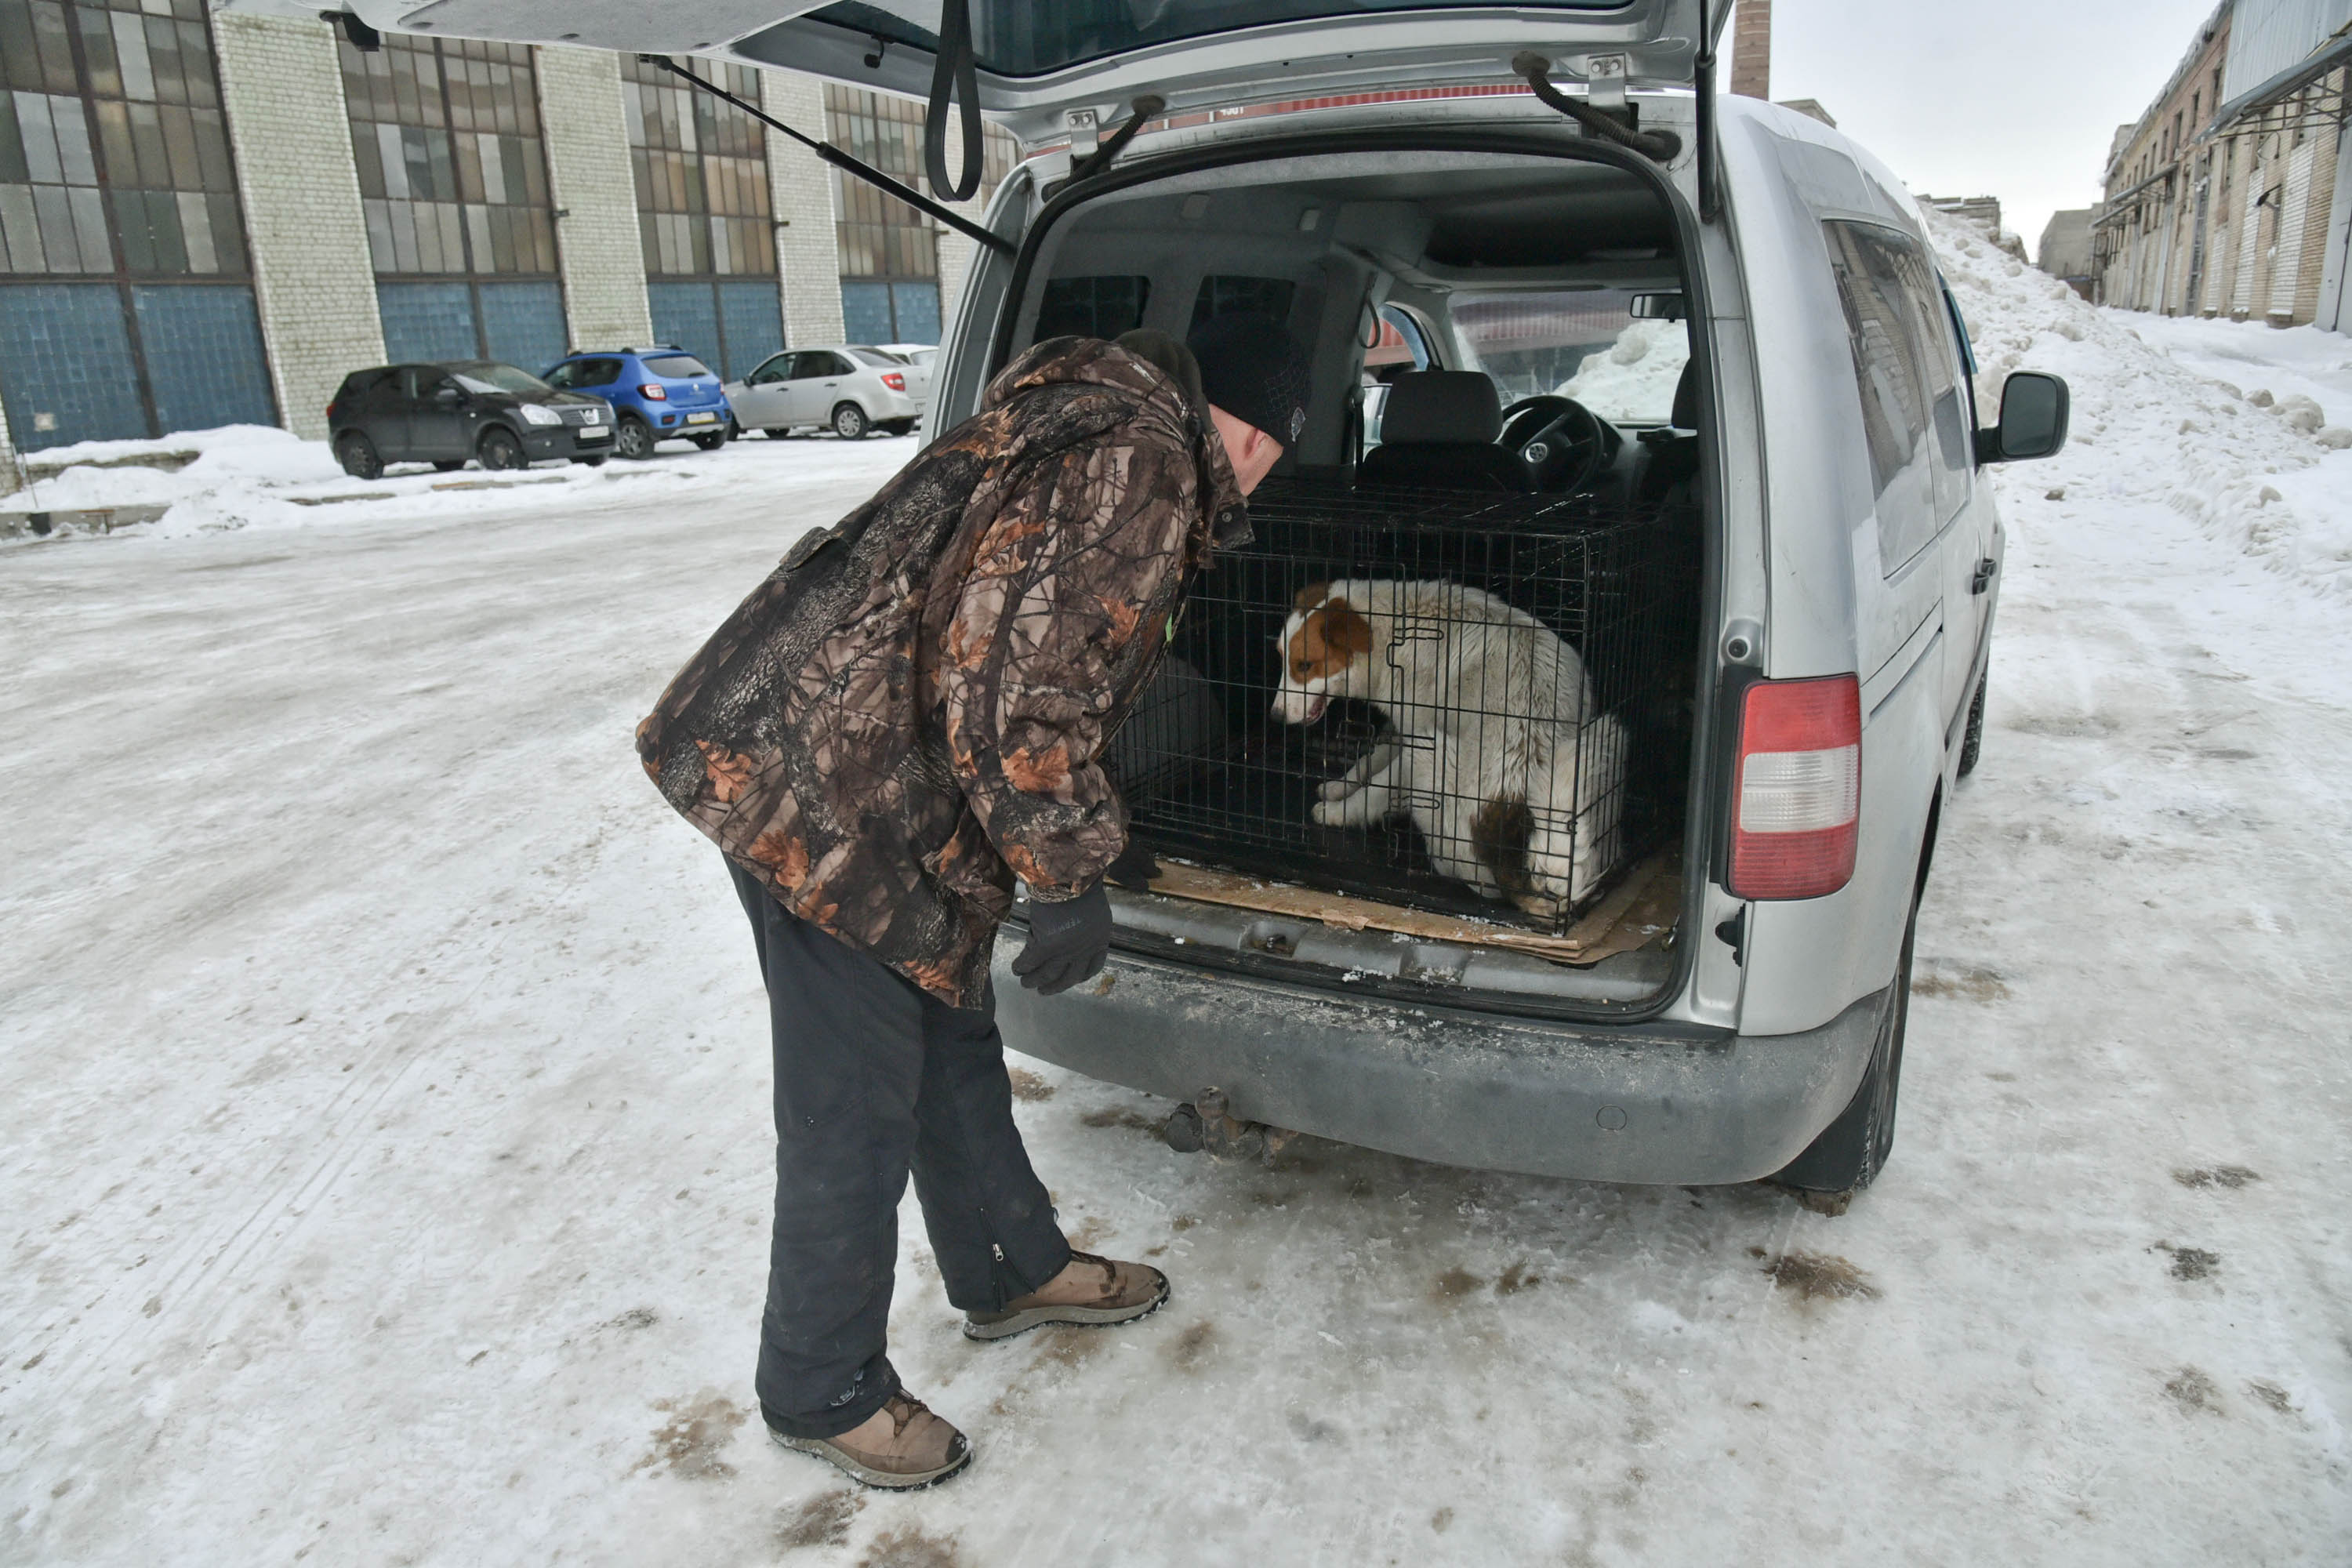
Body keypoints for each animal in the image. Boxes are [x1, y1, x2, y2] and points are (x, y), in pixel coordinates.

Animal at [1279, 583, 1628, 912]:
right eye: (1282, 660)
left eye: (1305, 665)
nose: (1275, 716)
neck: (1397, 629)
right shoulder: (1404, 729)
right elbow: (1369, 761)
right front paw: (1339, 786)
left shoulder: (1417, 734)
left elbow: (1373, 790)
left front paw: (1336, 811)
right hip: (1606, 740)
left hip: (1428, 753)